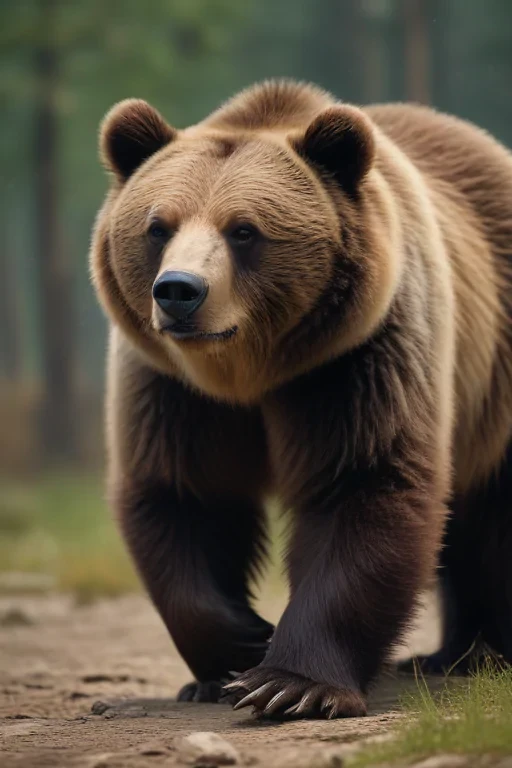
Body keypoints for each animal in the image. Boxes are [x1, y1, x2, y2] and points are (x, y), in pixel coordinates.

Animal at [90, 79, 512, 719]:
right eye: (158, 226)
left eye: (243, 230)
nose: (179, 292)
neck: (249, 373)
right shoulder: (171, 388)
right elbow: (183, 495)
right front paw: (237, 646)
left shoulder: (356, 358)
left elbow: (360, 483)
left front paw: (289, 683)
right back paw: (452, 653)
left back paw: (480, 653)